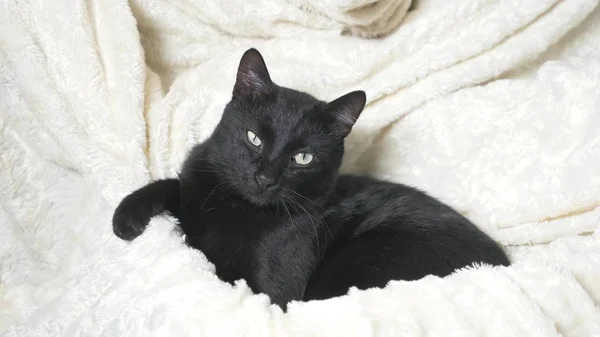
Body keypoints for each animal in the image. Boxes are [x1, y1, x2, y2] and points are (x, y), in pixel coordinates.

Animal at [111, 48, 506, 308]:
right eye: (254, 138)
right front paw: (127, 216)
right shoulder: (199, 183)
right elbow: (174, 186)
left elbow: (210, 261)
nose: (265, 178)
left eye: (302, 158)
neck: (237, 208)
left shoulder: (269, 292)